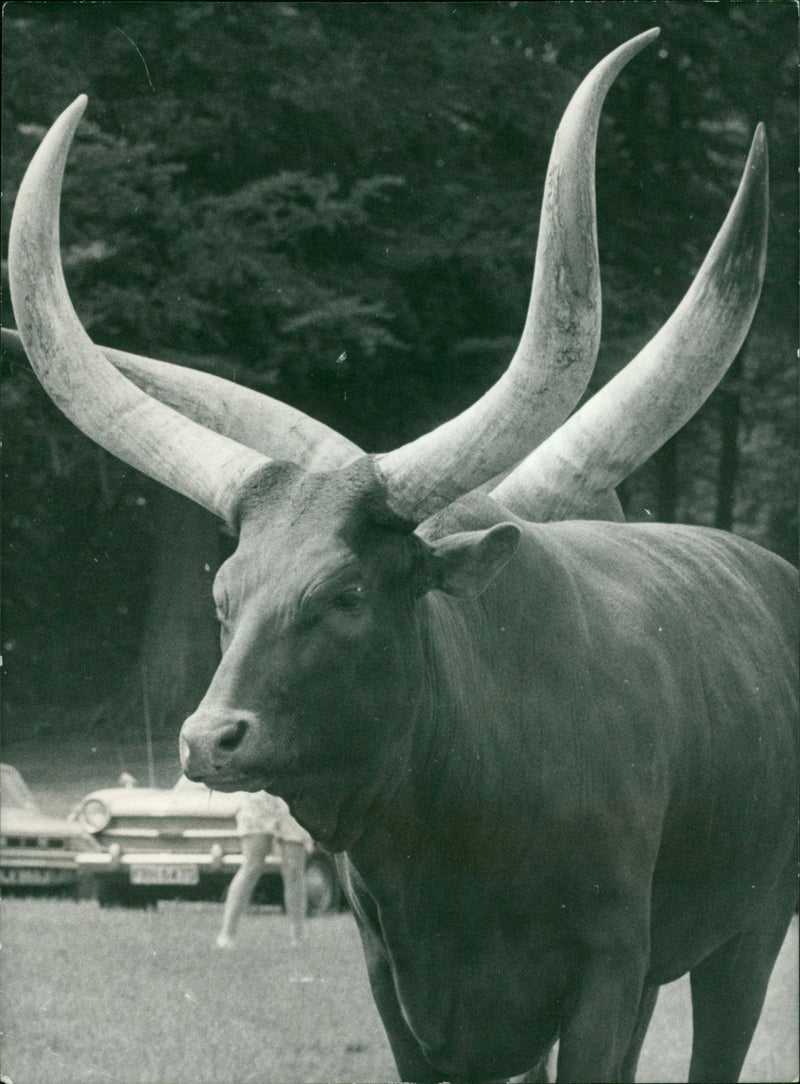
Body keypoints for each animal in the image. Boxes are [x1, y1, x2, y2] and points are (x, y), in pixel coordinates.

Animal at [9, 27, 793, 1084]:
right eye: (223, 594)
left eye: (345, 593)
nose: (208, 741)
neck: (452, 824)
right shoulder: (400, 988)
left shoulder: (606, 971)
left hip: (747, 935)